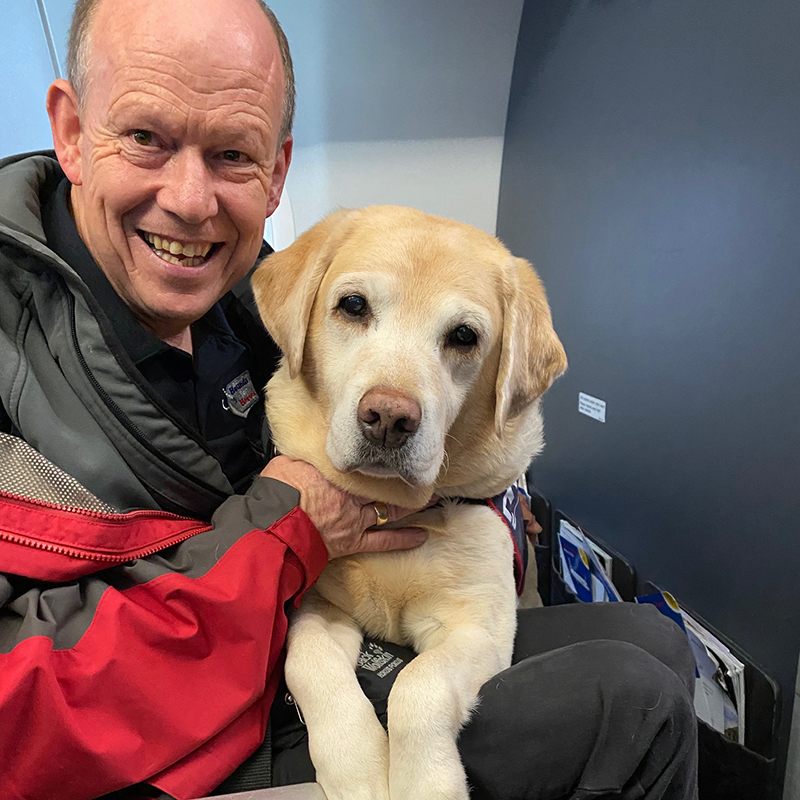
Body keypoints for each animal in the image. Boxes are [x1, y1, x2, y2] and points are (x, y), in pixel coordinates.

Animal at [252, 206, 567, 800]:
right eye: (353, 305)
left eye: (464, 336)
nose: (389, 418)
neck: (394, 507)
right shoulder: (316, 607)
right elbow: (308, 663)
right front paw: (358, 768)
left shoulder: (479, 628)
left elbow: (420, 686)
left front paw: (425, 782)